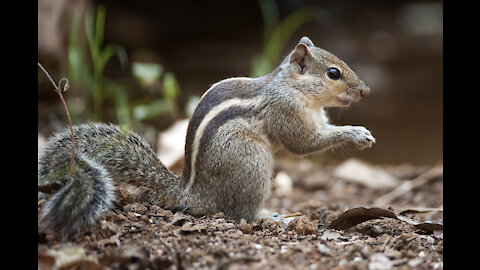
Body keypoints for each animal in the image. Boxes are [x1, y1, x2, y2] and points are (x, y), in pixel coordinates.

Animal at [37, 37, 376, 237]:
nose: (366, 91)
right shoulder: (287, 112)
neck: (292, 87)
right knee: (241, 214)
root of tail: (191, 193)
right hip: (253, 164)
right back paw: (274, 216)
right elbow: (304, 143)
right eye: (333, 73)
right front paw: (357, 132)